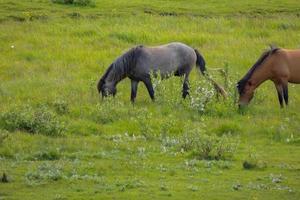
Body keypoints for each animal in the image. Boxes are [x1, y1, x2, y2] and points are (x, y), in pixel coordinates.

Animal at [97, 41, 226, 102]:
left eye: (104, 91)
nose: (105, 104)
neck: (134, 59)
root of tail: (192, 49)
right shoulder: (134, 80)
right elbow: (133, 95)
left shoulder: (147, 79)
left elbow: (152, 93)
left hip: (184, 74)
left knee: (185, 89)